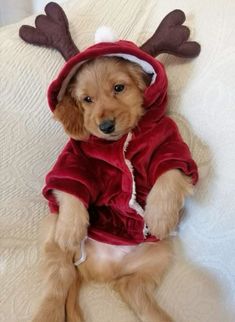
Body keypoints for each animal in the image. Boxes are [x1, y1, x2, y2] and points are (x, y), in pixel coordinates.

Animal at [33, 57, 195, 322]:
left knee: (130, 287)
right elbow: (69, 187)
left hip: (159, 253)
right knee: (59, 282)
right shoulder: (72, 160)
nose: (106, 126)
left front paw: (160, 215)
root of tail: (103, 269)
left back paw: (159, 317)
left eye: (119, 88)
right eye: (87, 99)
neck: (118, 142)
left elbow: (169, 172)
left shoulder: (170, 145)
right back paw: (47, 314)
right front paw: (71, 228)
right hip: (52, 232)